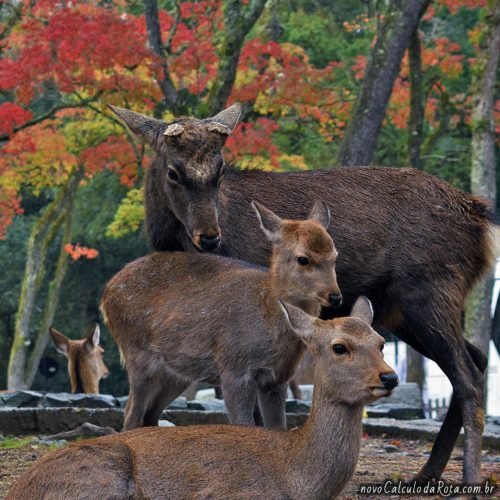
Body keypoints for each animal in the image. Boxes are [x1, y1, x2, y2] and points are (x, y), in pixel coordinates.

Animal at [100, 201, 344, 432]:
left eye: (334, 256)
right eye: (303, 259)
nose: (335, 296)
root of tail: (106, 294)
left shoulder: (277, 379)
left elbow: (277, 428)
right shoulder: (234, 369)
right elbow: (244, 424)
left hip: (176, 373)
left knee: (149, 415)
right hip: (137, 353)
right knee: (131, 414)